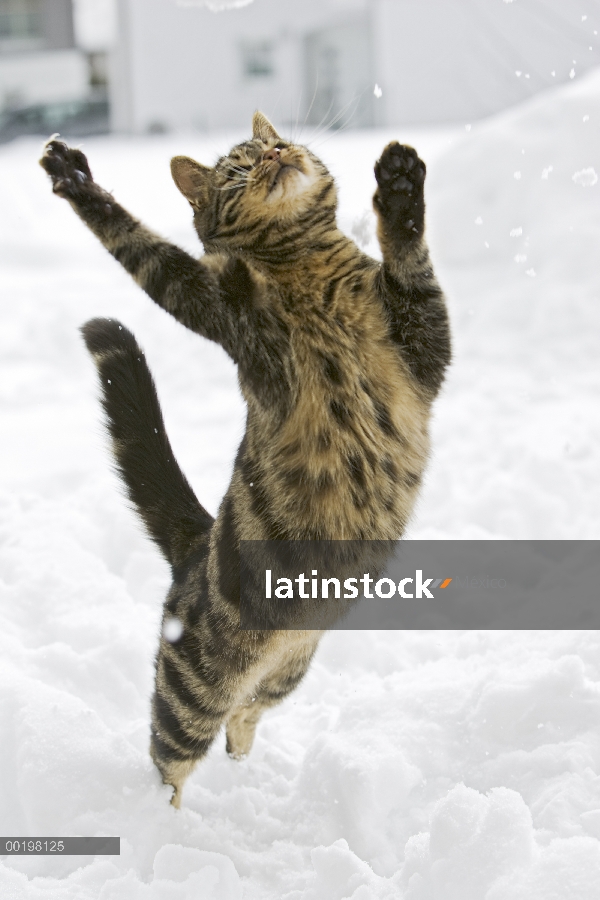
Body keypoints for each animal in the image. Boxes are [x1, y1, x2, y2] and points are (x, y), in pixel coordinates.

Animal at [38, 112, 450, 808]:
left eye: (278, 144)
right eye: (240, 165)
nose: (278, 153)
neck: (304, 265)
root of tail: (194, 545)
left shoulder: (424, 342)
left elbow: (410, 258)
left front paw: (399, 189)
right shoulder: (214, 305)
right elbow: (141, 244)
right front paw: (75, 176)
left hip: (290, 669)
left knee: (246, 714)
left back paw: (242, 768)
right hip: (193, 688)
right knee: (171, 759)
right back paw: (169, 820)